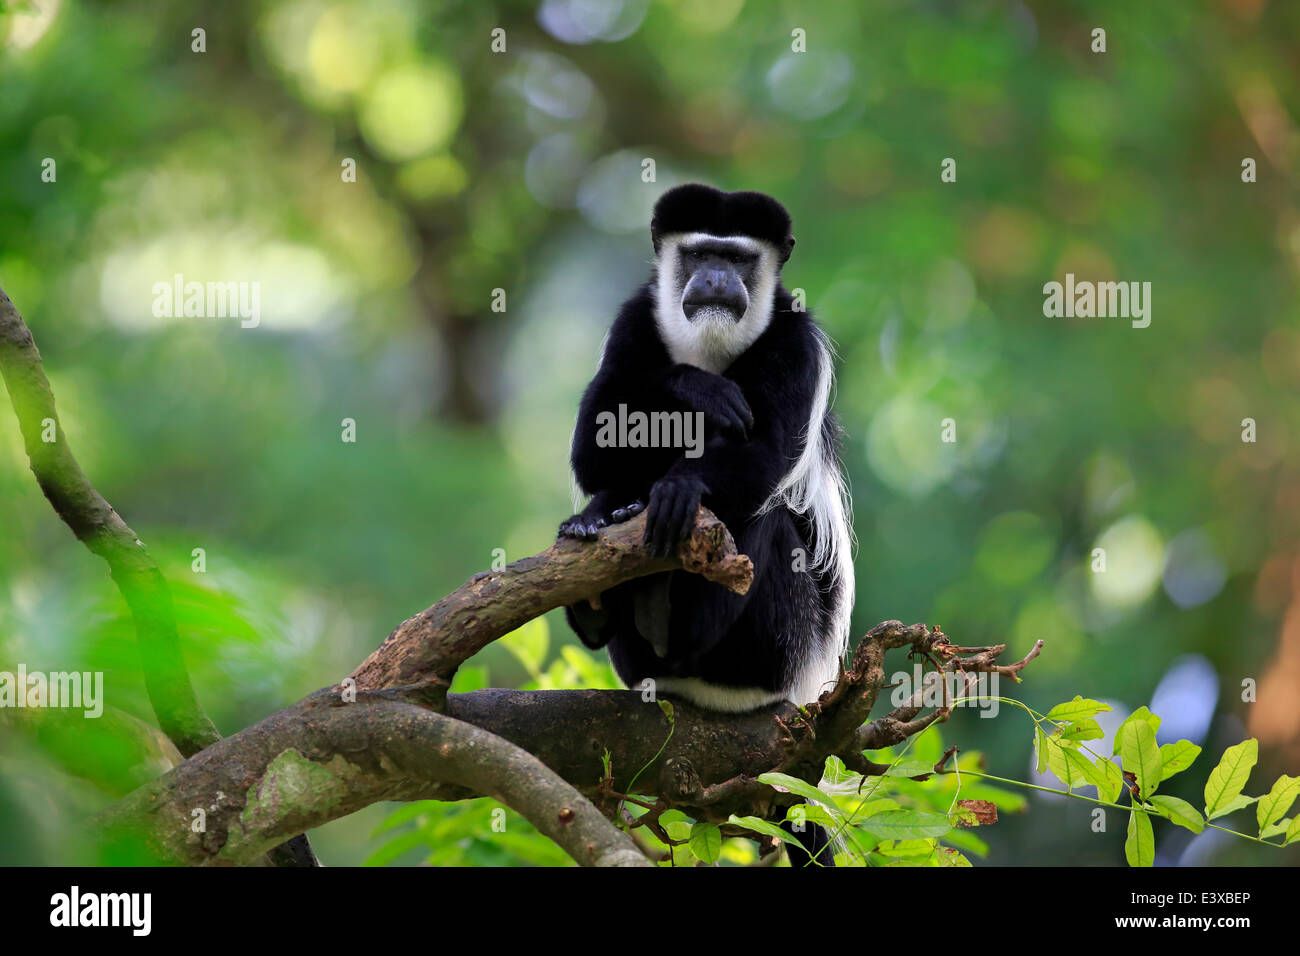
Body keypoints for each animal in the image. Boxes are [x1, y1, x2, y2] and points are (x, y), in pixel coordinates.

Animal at [559, 184, 852, 868]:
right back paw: (598, 562)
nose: (717, 279)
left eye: (737, 258)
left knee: (764, 519)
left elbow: (767, 455)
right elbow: (593, 446)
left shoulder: (795, 341)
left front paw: (681, 488)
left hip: (777, 651)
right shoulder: (634, 319)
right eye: (698, 254)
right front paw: (693, 387)